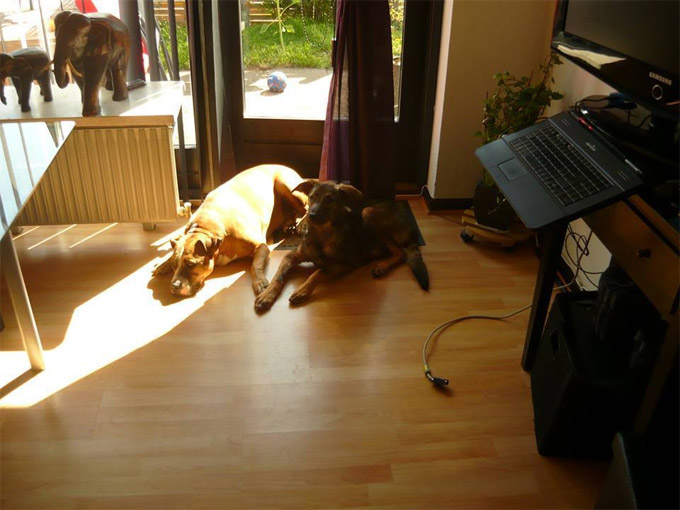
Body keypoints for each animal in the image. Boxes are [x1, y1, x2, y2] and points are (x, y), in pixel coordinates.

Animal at [153, 164, 307, 297]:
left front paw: (259, 282)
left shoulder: (261, 246)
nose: (174, 286)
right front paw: (164, 263)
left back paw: (302, 224)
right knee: (294, 213)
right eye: (175, 265)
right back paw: (289, 224)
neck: (206, 228)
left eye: (191, 264)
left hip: (287, 187)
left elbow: (255, 265)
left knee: (306, 207)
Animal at [254, 180, 428, 312]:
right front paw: (267, 295)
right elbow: (278, 276)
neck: (322, 235)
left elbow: (318, 272)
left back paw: (382, 266)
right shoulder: (291, 256)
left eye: (330, 200)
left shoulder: (344, 264)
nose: (311, 216)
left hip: (368, 212)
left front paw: (302, 290)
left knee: (400, 252)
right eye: (312, 197)